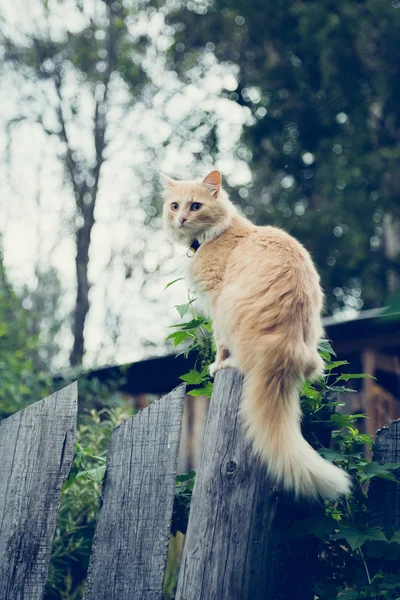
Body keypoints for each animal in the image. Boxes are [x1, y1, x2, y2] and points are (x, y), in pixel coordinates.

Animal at [161, 170, 352, 502]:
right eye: (174, 206)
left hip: (229, 305)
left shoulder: (215, 296)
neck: (218, 234)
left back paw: (226, 366)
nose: (182, 219)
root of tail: (285, 351)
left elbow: (218, 344)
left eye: (195, 206)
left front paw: (217, 363)